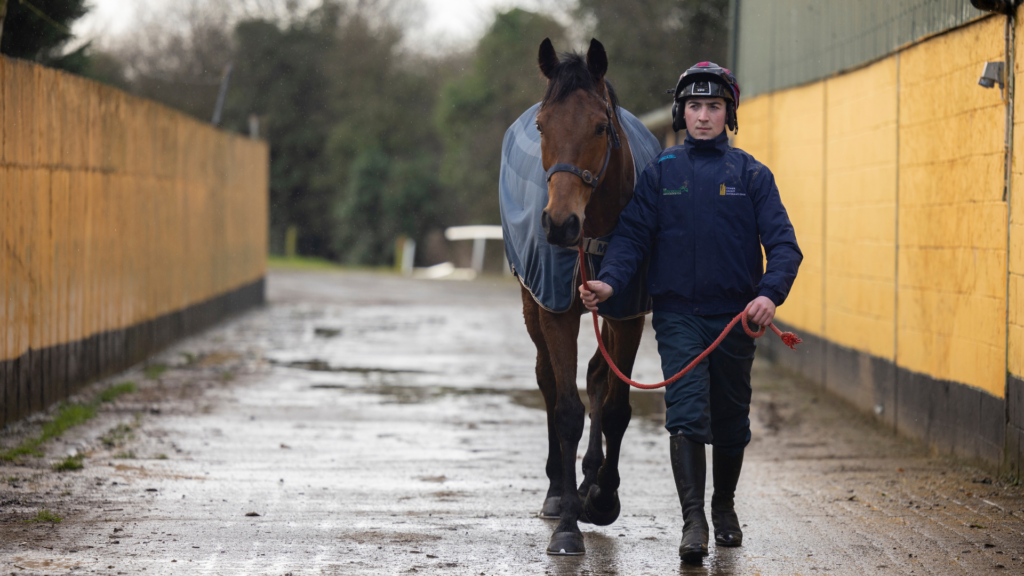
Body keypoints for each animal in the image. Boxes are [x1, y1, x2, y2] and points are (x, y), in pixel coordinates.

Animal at [512, 38, 655, 553]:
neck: (593, 234)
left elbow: (614, 407)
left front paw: (603, 498)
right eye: (542, 125)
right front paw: (570, 524)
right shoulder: (557, 311)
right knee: (549, 384)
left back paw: (590, 478)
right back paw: (558, 490)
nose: (559, 224)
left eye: (599, 126)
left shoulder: (627, 313)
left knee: (596, 376)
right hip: (532, 305)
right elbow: (568, 409)